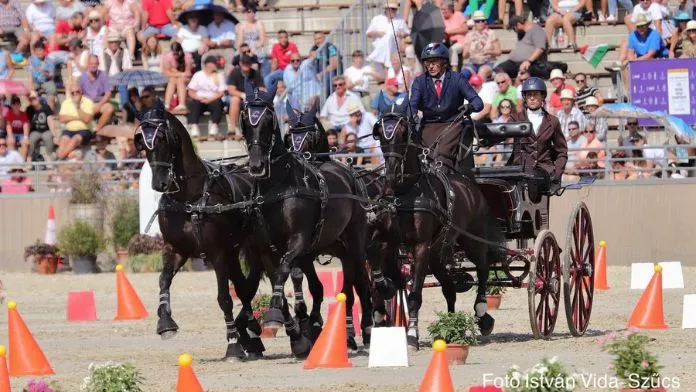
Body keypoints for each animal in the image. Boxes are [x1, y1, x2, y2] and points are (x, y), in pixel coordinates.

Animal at [134, 100, 266, 362]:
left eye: (162, 138)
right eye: (142, 141)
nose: (159, 184)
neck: (190, 198)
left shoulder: (218, 254)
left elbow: (224, 298)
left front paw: (233, 346)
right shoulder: (176, 249)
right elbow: (163, 281)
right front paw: (165, 324)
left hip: (252, 250)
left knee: (248, 287)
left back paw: (248, 334)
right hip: (233, 253)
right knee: (243, 288)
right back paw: (250, 335)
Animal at [242, 87, 376, 350]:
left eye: (268, 120)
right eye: (246, 120)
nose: (257, 165)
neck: (278, 188)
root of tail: (351, 174)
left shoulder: (299, 240)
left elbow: (285, 270)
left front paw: (279, 316)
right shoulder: (268, 249)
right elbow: (287, 279)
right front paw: (299, 326)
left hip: (355, 243)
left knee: (357, 283)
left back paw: (363, 329)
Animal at [372, 98, 502, 350]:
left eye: (403, 134)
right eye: (381, 135)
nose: (391, 175)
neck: (406, 193)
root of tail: (468, 184)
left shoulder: (421, 246)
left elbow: (414, 294)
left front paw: (412, 334)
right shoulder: (388, 244)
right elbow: (391, 279)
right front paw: (383, 310)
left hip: (471, 242)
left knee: (483, 270)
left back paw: (483, 315)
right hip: (438, 254)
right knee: (449, 288)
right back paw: (450, 329)